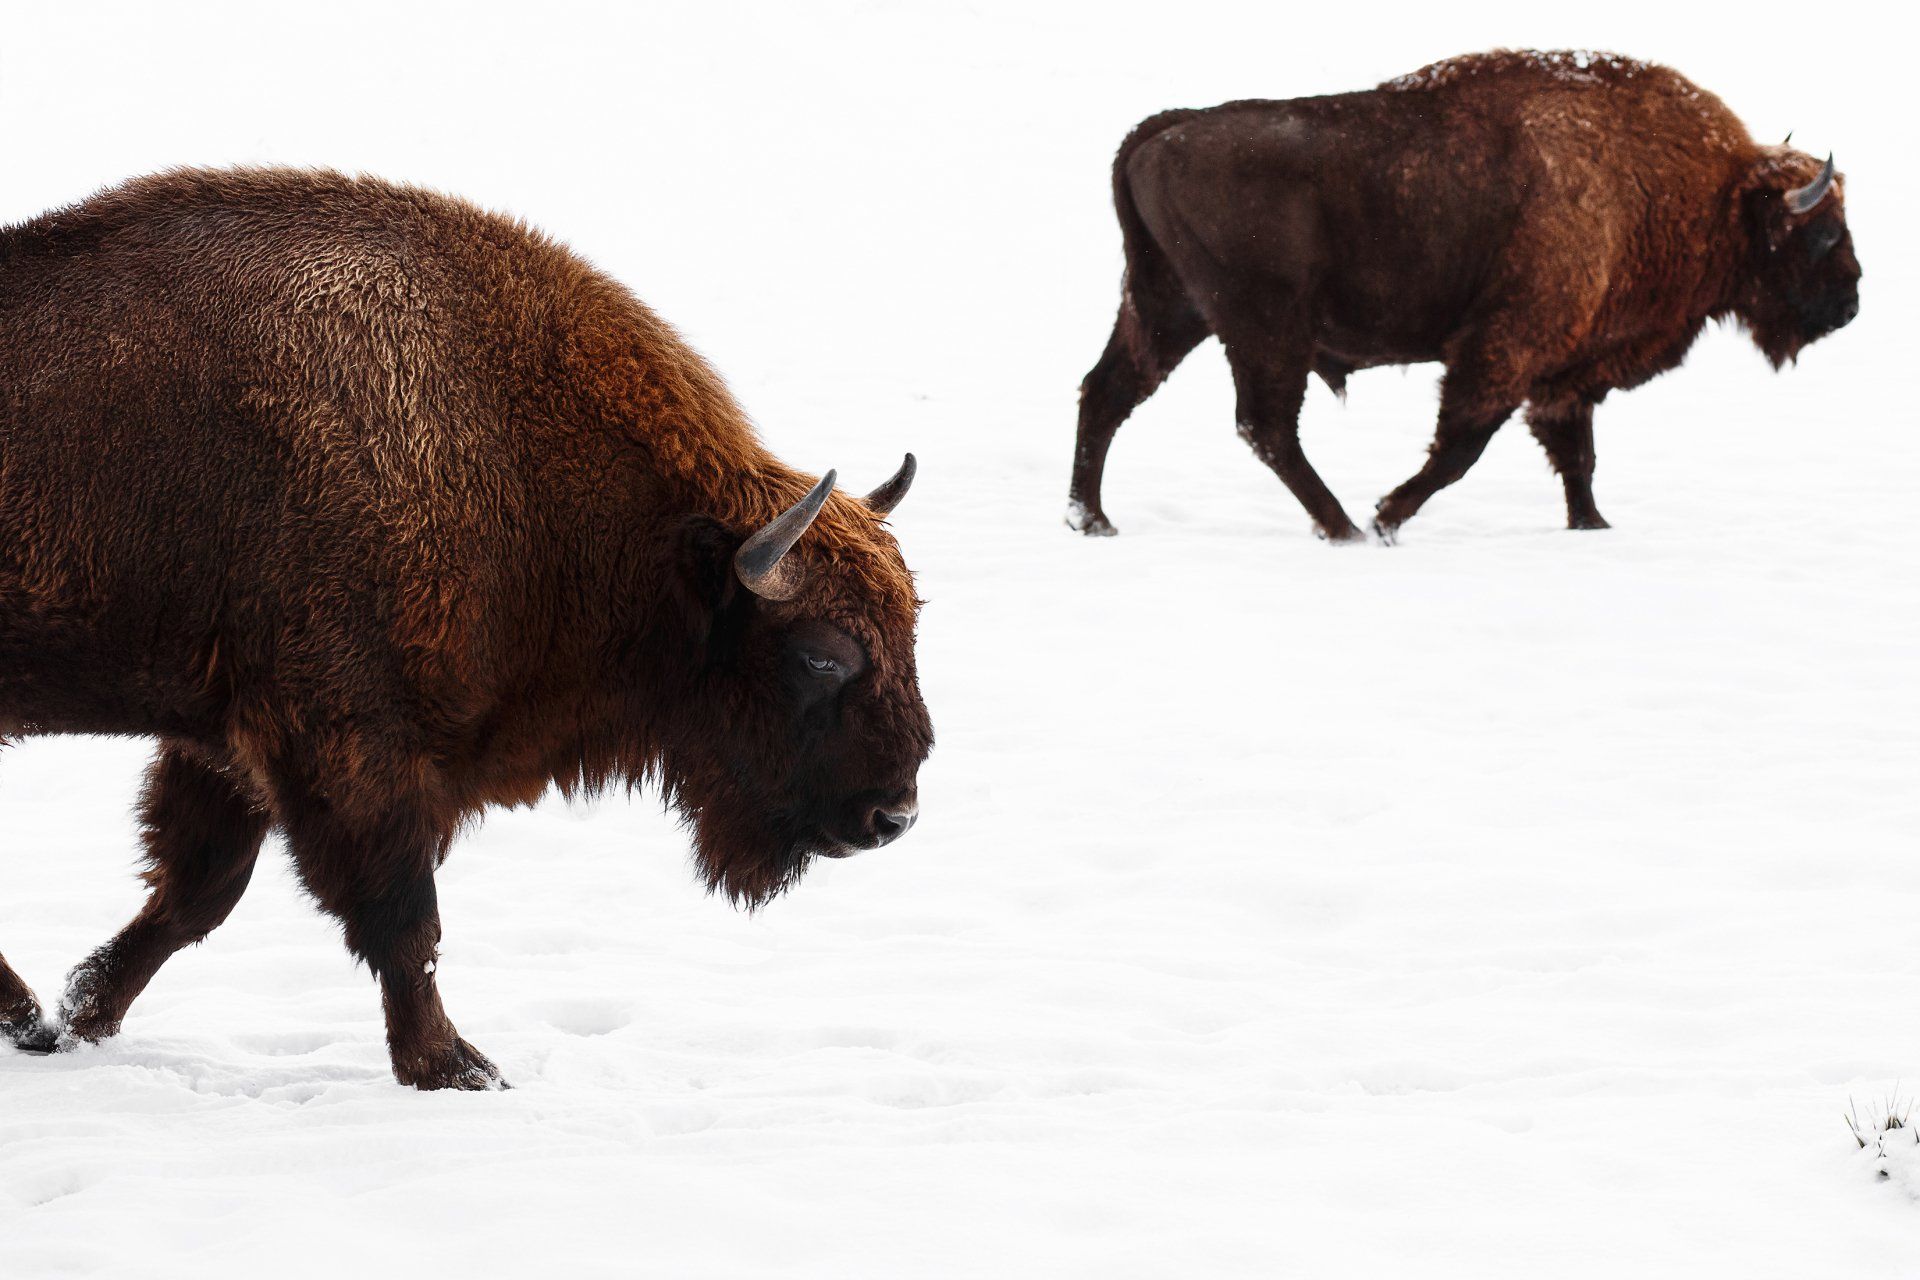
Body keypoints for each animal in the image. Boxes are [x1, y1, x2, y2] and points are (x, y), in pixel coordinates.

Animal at [0, 168, 933, 1089]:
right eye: (820, 655)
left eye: (910, 625)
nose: (893, 816)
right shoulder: (351, 753)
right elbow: (403, 923)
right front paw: (457, 1067)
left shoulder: (228, 747)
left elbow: (196, 895)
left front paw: (80, 1017)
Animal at [1067, 50, 1862, 541]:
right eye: (1822, 234)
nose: (1852, 303)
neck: (1699, 193)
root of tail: (1159, 133)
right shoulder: (1504, 348)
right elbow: (1463, 445)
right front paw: (1388, 516)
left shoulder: (1566, 370)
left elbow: (1576, 454)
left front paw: (1593, 526)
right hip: (1263, 328)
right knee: (1264, 426)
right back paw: (1345, 528)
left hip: (1168, 310)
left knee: (1108, 393)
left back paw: (1093, 520)